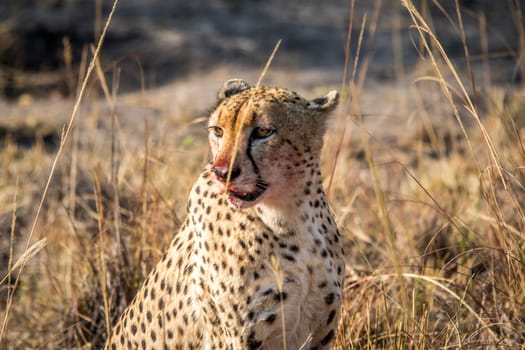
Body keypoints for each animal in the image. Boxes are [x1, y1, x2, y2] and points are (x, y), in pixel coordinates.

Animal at [106, 80, 344, 350]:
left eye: (263, 132)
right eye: (218, 131)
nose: (221, 172)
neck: (292, 216)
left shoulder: (318, 335)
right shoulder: (234, 339)